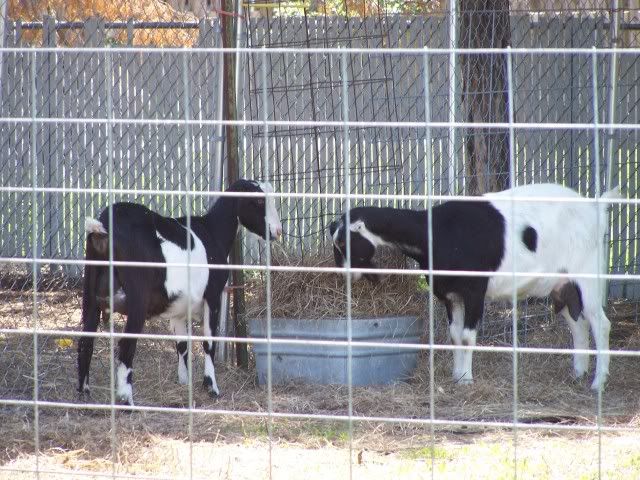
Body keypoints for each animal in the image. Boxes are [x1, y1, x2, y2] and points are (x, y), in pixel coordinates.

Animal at [78, 179, 282, 405]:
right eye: (258, 201)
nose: (277, 231)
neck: (212, 232)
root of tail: (103, 227)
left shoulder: (177, 306)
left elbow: (182, 344)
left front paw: (184, 381)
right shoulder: (212, 295)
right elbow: (209, 342)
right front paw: (211, 386)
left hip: (90, 292)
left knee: (86, 340)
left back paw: (84, 393)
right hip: (137, 299)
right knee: (126, 345)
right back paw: (127, 401)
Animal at [329, 183, 620, 391]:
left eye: (344, 243)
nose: (343, 275)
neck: (436, 233)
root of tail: (596, 207)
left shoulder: (473, 292)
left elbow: (468, 336)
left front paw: (467, 379)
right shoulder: (450, 295)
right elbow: (455, 336)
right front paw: (457, 376)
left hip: (588, 275)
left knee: (600, 323)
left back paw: (598, 383)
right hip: (561, 285)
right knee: (578, 323)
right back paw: (578, 374)